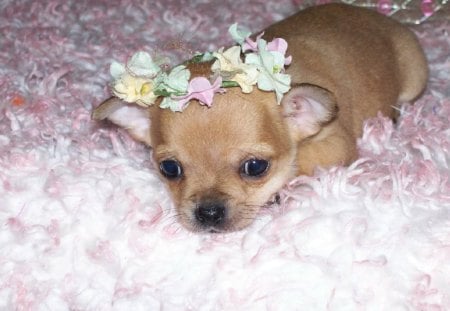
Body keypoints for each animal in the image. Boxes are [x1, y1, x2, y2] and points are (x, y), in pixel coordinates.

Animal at [93, 3, 428, 233]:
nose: (209, 213)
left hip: (414, 76)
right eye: (169, 169)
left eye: (255, 168)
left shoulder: (335, 143)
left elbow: (299, 162)